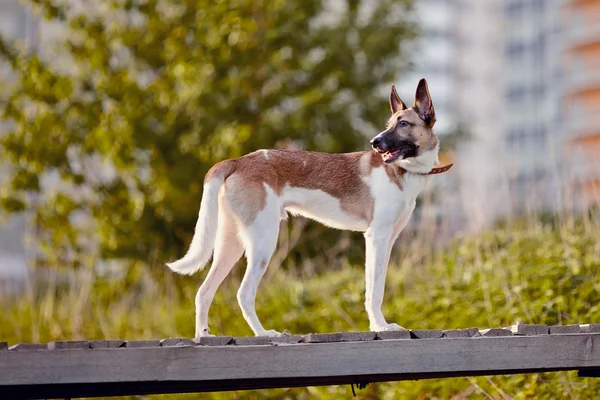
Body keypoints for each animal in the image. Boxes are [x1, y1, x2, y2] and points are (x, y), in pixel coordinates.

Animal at [166, 78, 452, 338]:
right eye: (388, 125)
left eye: (403, 124)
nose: (374, 142)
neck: (402, 171)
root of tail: (237, 161)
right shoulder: (376, 238)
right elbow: (374, 291)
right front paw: (381, 327)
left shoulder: (388, 240)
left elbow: (376, 286)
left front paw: (377, 326)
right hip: (263, 242)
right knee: (244, 293)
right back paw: (265, 334)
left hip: (231, 243)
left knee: (204, 292)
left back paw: (203, 336)